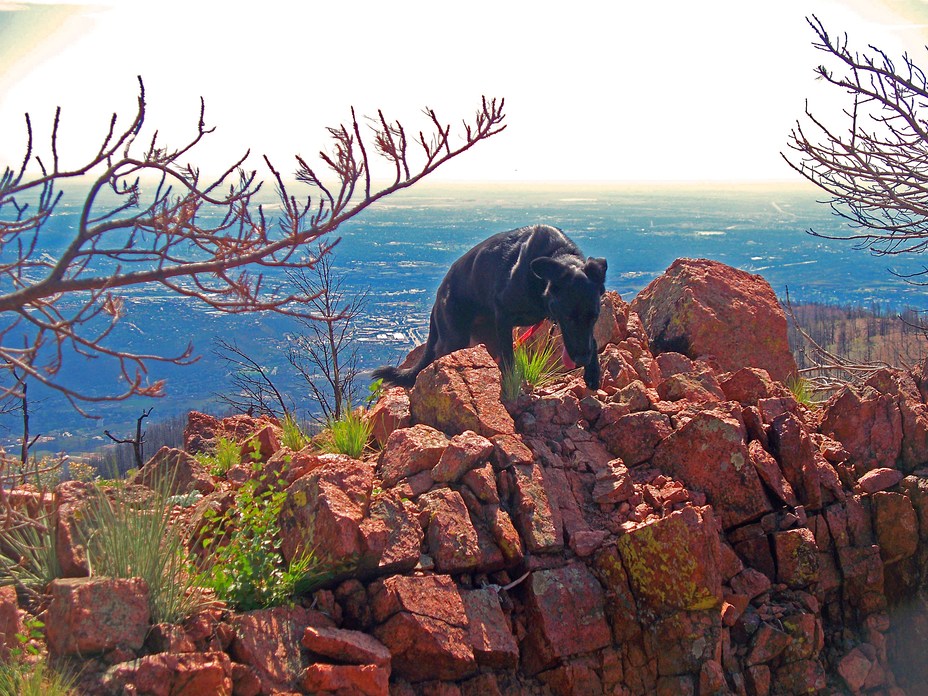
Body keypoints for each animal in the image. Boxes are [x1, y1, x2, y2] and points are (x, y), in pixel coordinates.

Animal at [374, 228, 604, 392]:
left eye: (594, 317)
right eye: (568, 317)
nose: (582, 360)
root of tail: (439, 295)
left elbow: (593, 339)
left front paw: (593, 372)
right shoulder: (503, 315)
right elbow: (509, 359)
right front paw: (513, 387)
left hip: (485, 338)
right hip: (455, 338)